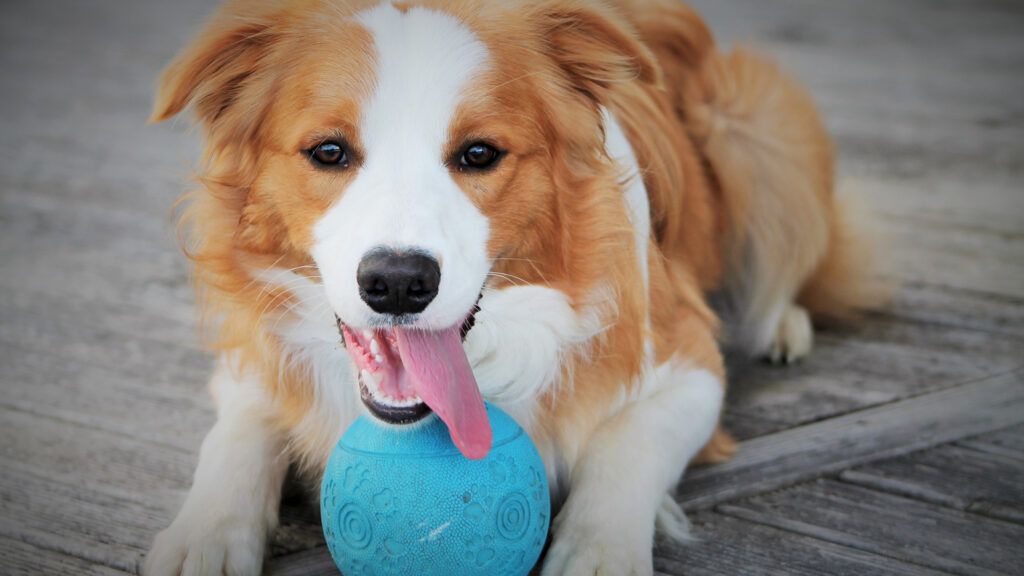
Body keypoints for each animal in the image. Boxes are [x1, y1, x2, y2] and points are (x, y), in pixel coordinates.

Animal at [142, 2, 880, 569]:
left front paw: (599, 554)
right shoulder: (248, 354)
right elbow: (236, 436)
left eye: (479, 154)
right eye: (328, 152)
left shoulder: (690, 363)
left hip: (756, 131)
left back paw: (780, 323)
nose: (398, 284)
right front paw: (201, 536)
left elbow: (625, 449)